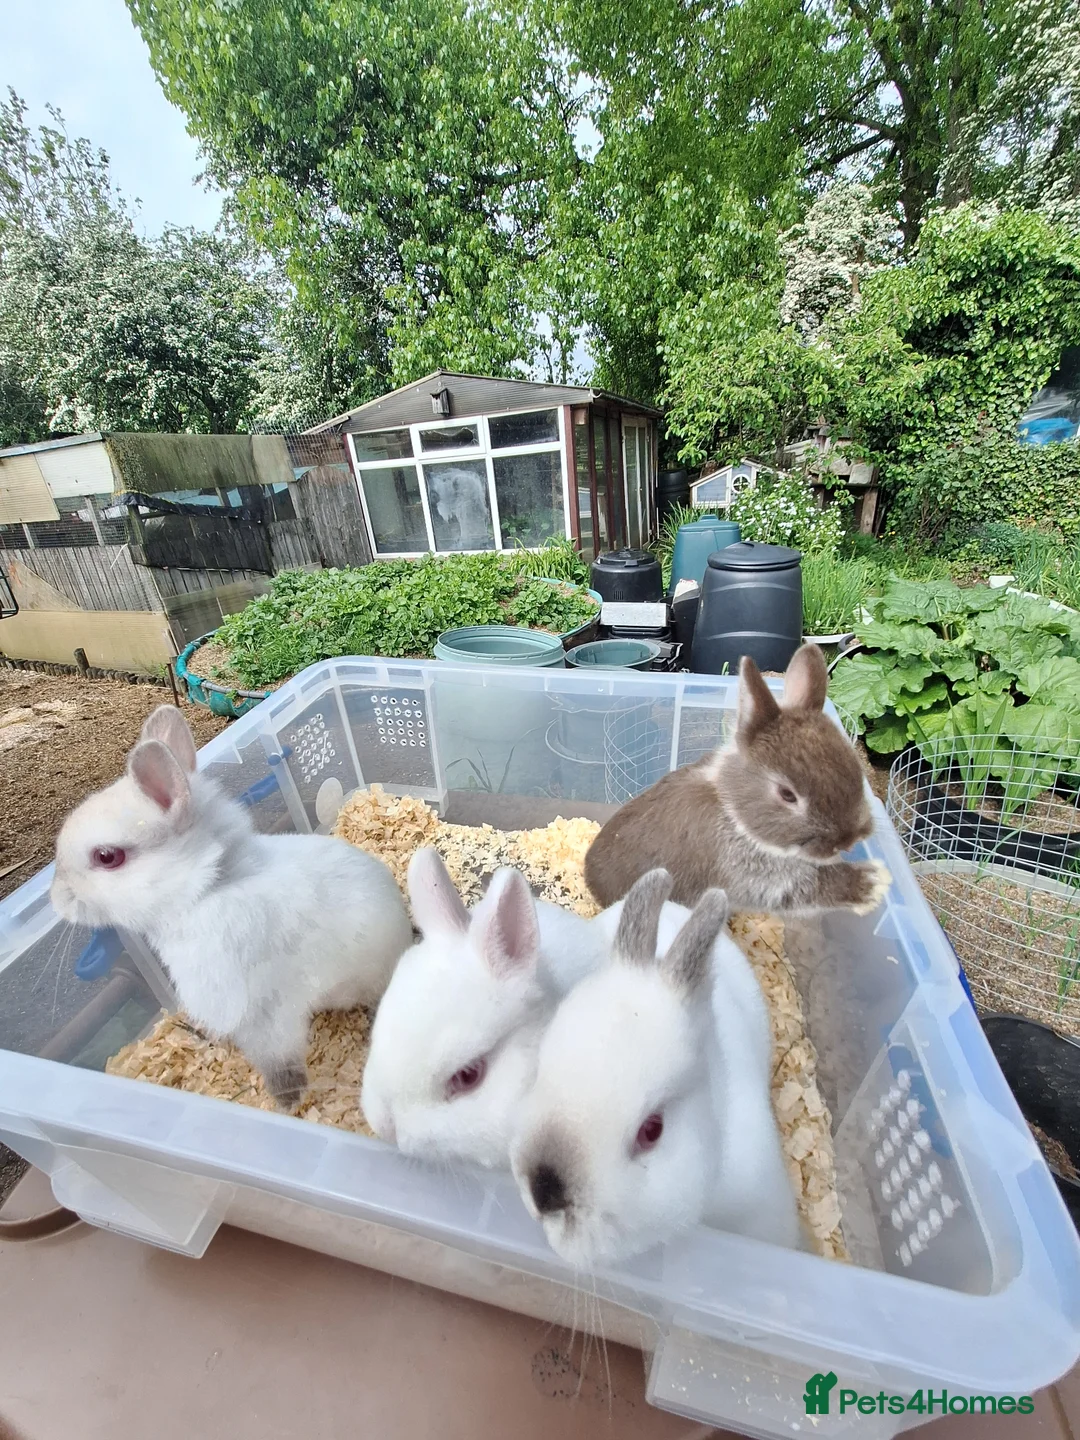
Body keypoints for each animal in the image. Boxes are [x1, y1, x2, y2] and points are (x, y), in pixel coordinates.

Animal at [50, 704, 412, 1109]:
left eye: (107, 856)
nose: (55, 899)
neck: (207, 892)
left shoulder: (266, 1017)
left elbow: (280, 1064)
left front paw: (287, 1104)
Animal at [584, 643, 890, 916]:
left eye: (855, 768)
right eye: (787, 795)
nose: (848, 841)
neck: (733, 811)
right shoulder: (751, 876)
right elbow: (803, 887)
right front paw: (872, 883)